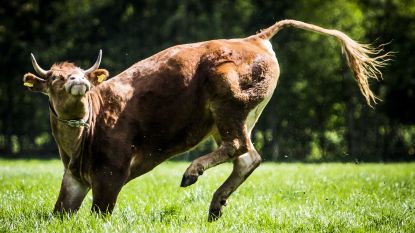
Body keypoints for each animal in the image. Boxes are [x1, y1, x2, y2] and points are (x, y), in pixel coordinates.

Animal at [23, 19, 390, 221]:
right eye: (55, 77)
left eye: (83, 73)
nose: (78, 81)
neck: (83, 138)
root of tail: (254, 39)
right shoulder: (74, 177)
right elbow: (59, 213)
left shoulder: (110, 174)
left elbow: (100, 212)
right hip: (234, 116)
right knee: (247, 156)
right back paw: (215, 206)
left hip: (227, 100)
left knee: (238, 146)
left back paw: (192, 173)